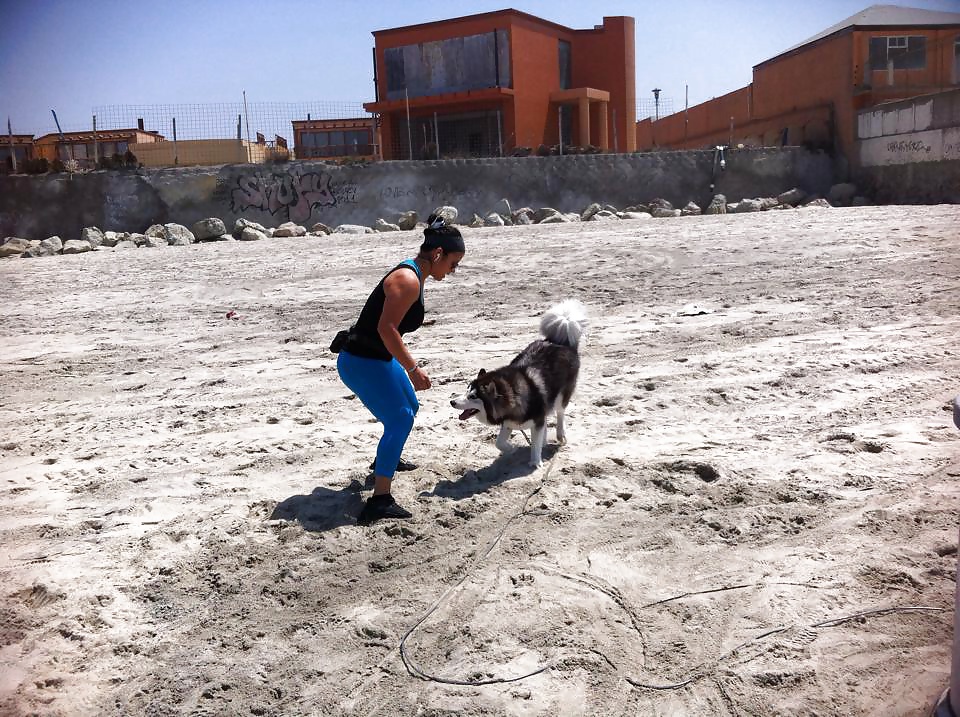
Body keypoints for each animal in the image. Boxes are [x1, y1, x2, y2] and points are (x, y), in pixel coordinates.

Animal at [450, 300, 584, 468]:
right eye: (466, 391)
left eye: (473, 396)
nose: (452, 402)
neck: (513, 394)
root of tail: (559, 341)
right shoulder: (508, 421)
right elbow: (499, 443)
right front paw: (511, 449)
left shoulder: (536, 420)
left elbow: (535, 442)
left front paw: (535, 462)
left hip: (561, 395)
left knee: (560, 412)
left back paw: (560, 434)